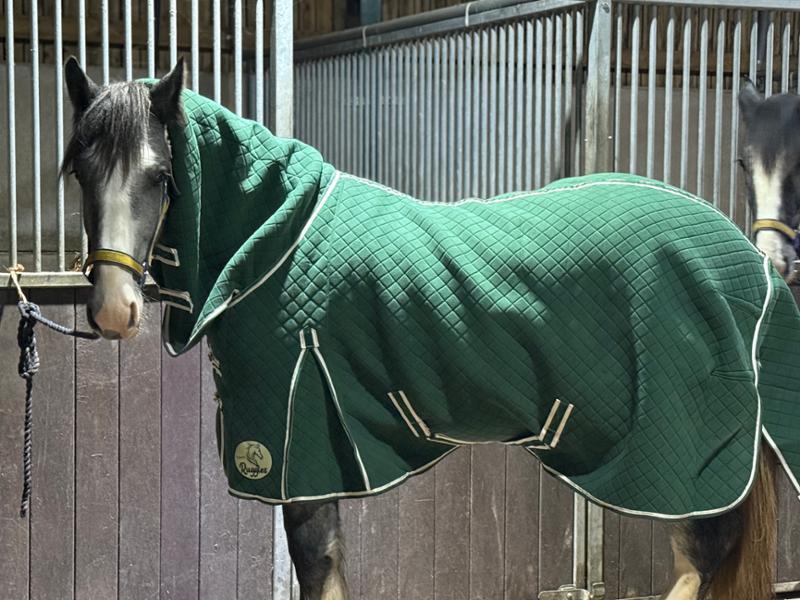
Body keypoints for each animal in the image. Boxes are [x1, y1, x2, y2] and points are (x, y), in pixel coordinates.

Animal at [61, 56, 800, 600]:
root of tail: (751, 264)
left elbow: (318, 571)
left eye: (161, 176)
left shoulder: (298, 455)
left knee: (701, 562)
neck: (276, 242)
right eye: (78, 171)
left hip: (677, 467)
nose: (113, 310)